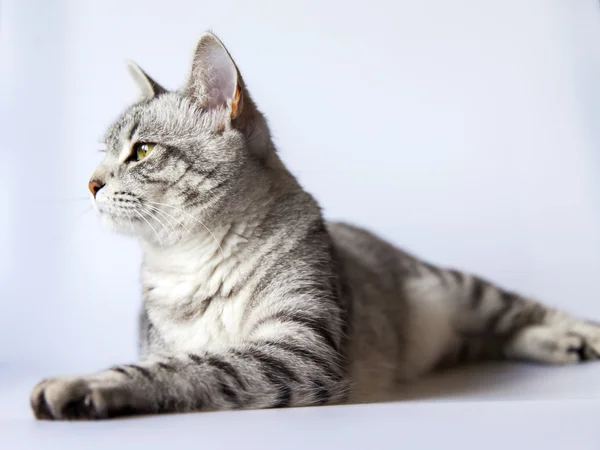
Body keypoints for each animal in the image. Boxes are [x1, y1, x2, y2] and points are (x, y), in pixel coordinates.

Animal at [30, 32, 600, 422]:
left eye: (142, 151)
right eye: (105, 154)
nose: (91, 183)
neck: (191, 265)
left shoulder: (299, 349)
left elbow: (194, 368)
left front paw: (84, 385)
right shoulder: (180, 343)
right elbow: (180, 361)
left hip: (460, 287)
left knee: (522, 311)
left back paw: (579, 336)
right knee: (494, 338)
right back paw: (554, 346)